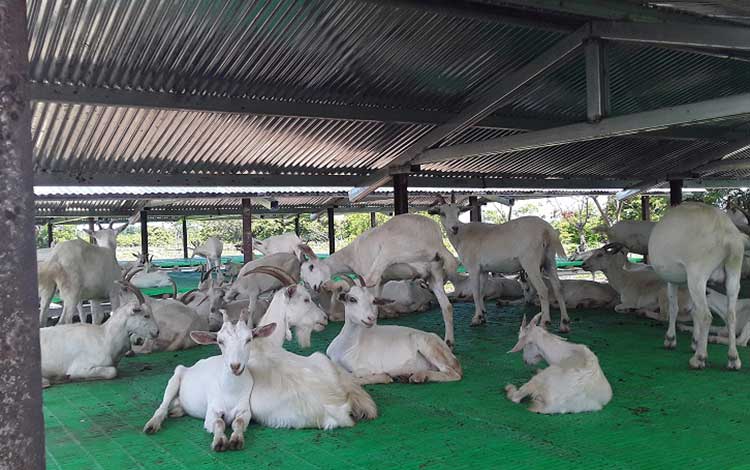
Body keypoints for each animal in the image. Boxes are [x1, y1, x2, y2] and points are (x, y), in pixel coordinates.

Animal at [144, 314, 276, 450]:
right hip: (175, 378)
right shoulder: (212, 410)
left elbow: (238, 422)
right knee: (163, 406)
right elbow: (219, 422)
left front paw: (236, 440)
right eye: (220, 341)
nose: (235, 366)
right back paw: (152, 424)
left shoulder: (244, 410)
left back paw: (177, 411)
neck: (231, 391)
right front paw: (219, 441)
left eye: (249, 339)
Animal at [300, 213, 458, 346]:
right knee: (447, 306)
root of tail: (436, 242)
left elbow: (373, 308)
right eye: (304, 279)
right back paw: (449, 341)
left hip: (392, 251)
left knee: (372, 277)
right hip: (434, 274)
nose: (315, 287)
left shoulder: (370, 281)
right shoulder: (382, 282)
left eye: (311, 267)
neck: (351, 255)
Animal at [648, 202, 748, 370]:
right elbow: (694, 311)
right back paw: (733, 358)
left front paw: (670, 339)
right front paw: (695, 342)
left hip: (697, 274)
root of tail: (727, 235)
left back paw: (699, 358)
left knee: (706, 316)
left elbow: (674, 307)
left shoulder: (673, 279)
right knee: (730, 315)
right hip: (733, 272)